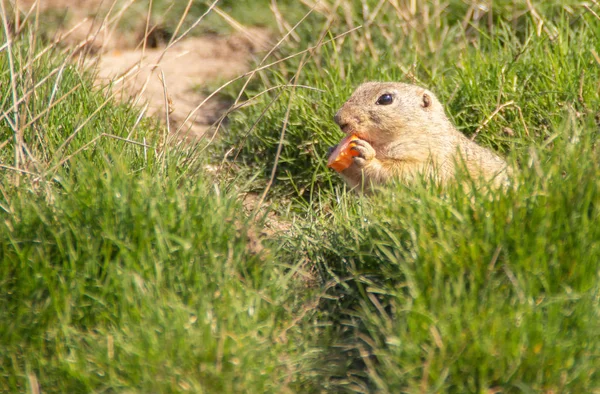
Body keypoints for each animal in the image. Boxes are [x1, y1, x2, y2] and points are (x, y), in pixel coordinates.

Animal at [328, 82, 510, 191]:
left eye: (386, 98)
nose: (338, 118)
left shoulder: (434, 154)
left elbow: (414, 173)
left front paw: (366, 156)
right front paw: (333, 151)